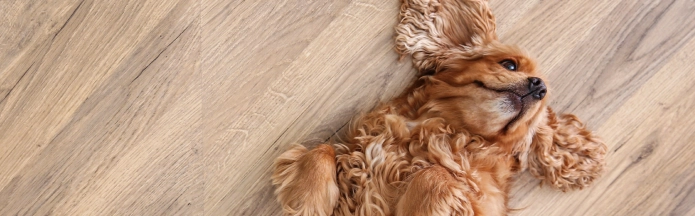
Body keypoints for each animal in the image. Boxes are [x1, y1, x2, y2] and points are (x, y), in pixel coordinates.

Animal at [272, 0, 608, 214]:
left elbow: (434, 174)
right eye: (509, 64)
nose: (539, 86)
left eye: (543, 99)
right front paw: (308, 201)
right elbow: (322, 149)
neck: (445, 130)